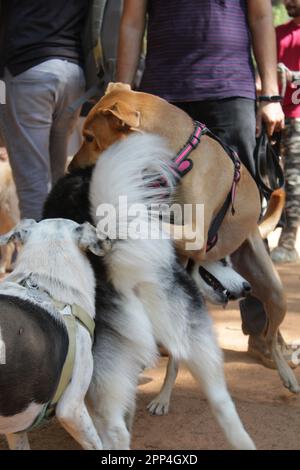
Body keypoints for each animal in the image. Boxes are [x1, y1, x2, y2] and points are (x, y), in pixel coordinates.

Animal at [69, 81, 298, 392]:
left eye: (90, 137)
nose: (70, 169)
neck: (179, 154)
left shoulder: (194, 233)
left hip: (275, 294)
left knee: (271, 337)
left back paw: (286, 374)